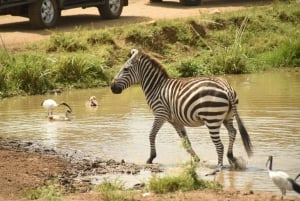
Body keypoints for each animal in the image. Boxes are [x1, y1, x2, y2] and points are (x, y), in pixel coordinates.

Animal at [110, 48, 253, 172]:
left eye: (125, 69)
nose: (112, 87)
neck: (156, 87)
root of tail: (226, 87)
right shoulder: (175, 121)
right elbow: (185, 141)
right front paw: (196, 159)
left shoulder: (160, 113)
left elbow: (151, 134)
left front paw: (150, 158)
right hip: (227, 117)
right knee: (233, 132)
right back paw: (231, 158)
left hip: (212, 119)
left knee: (220, 144)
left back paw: (219, 166)